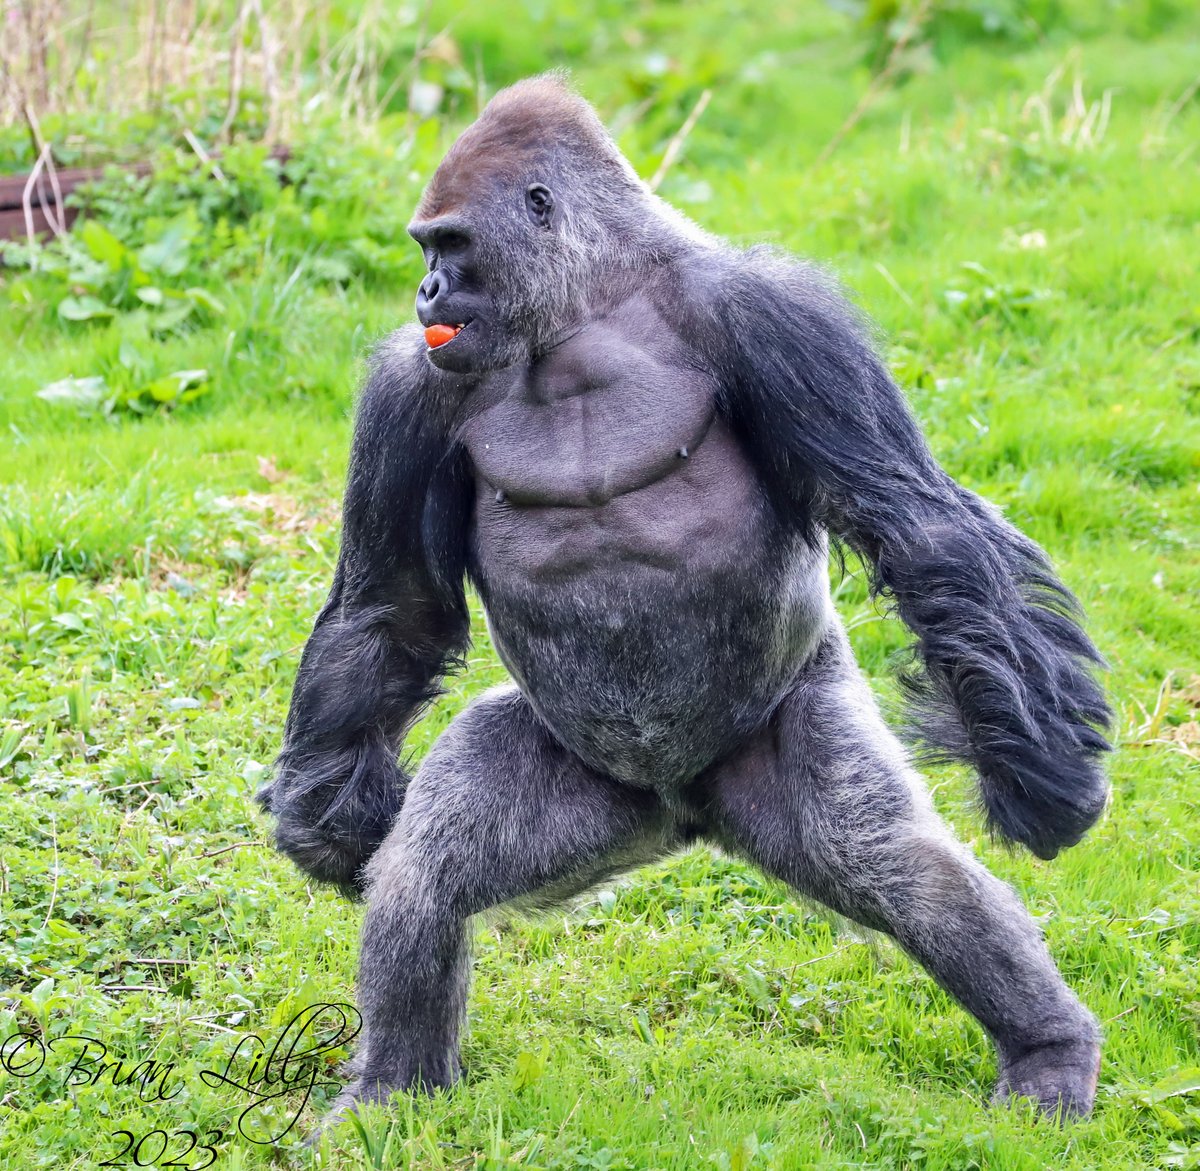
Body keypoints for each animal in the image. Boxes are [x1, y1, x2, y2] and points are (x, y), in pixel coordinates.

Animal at [257, 74, 1111, 1126]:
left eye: (449, 246)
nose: (427, 293)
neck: (586, 312)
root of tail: (685, 815)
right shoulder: (408, 385)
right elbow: (390, 610)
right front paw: (323, 818)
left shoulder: (778, 317)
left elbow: (918, 525)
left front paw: (1044, 778)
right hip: (590, 792)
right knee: (428, 874)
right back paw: (393, 1086)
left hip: (778, 740)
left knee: (897, 866)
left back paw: (1046, 1046)